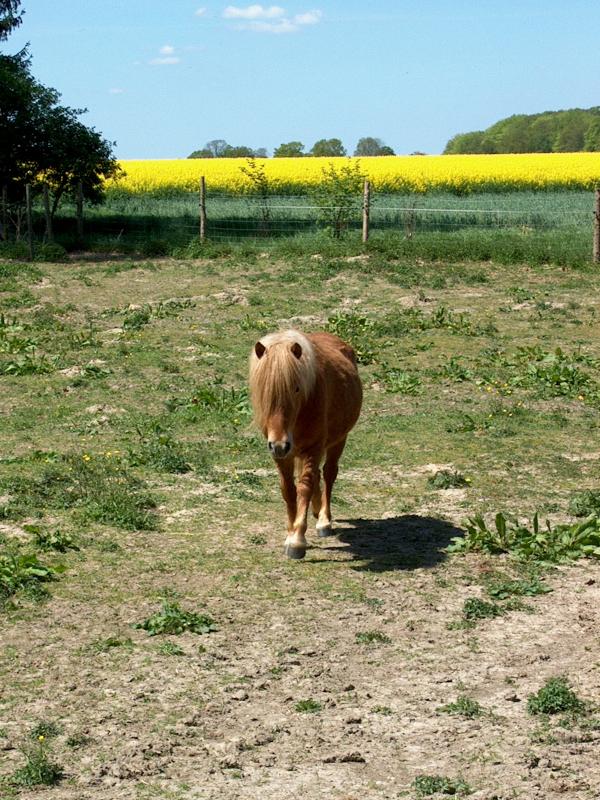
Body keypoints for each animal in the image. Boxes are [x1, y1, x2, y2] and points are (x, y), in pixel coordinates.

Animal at [249, 329, 362, 560]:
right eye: (264, 391)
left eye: (296, 389)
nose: (280, 444)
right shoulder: (281, 455)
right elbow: (288, 489)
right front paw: (290, 532)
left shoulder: (312, 448)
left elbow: (305, 487)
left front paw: (297, 540)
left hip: (338, 440)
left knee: (328, 473)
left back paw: (324, 520)